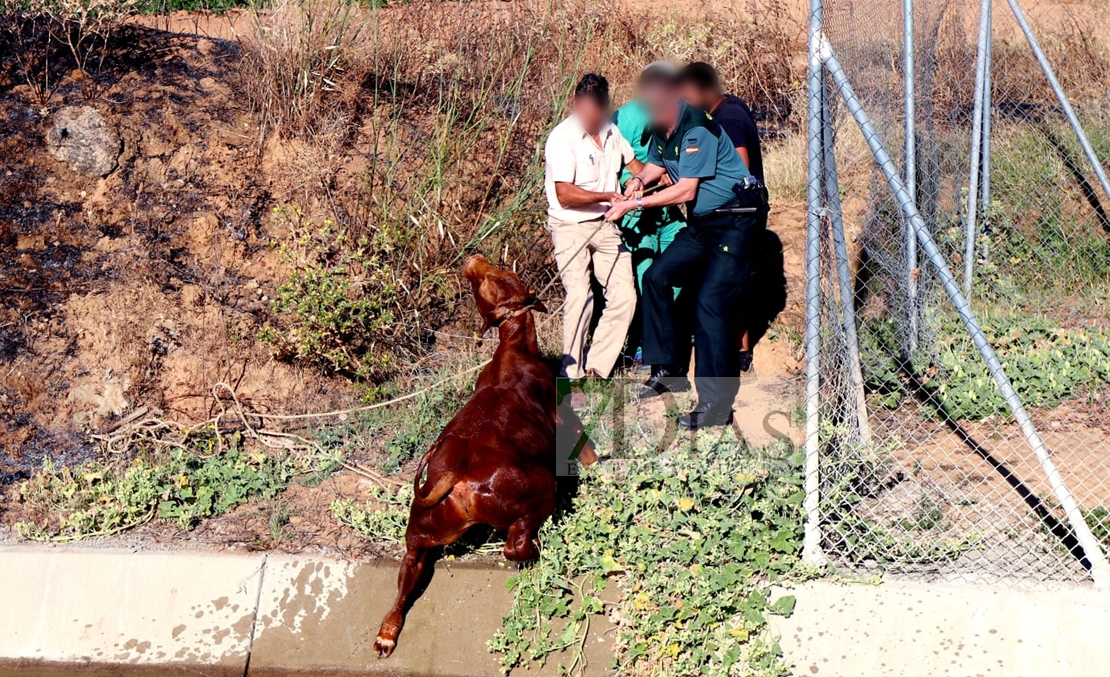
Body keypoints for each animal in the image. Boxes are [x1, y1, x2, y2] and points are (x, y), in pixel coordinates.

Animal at [372, 253, 599, 652]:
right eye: (500, 274)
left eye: (488, 277)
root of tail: (455, 476)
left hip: (422, 533)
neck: (512, 347)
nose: (474, 258)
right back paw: (535, 551)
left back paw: (388, 631)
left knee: (407, 576)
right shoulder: (562, 410)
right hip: (536, 495)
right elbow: (583, 442)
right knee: (516, 545)